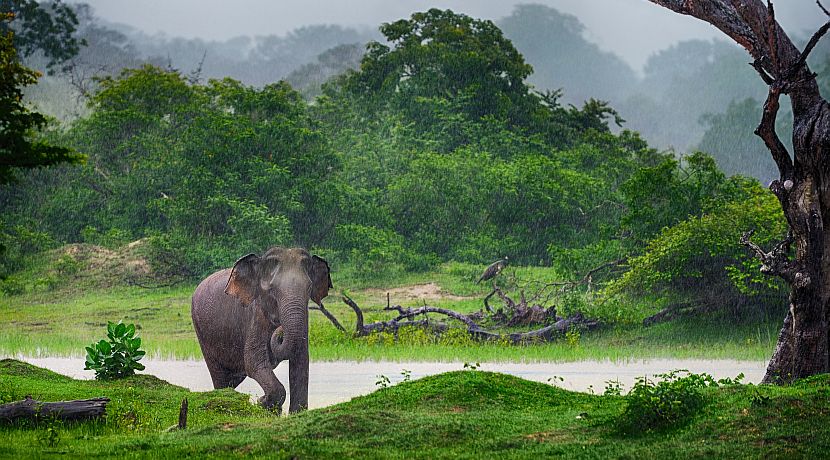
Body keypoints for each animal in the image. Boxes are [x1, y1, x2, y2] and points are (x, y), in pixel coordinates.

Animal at [191, 247, 331, 414]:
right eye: (272, 290)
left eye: (309, 288)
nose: (280, 330)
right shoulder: (255, 315)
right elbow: (253, 362)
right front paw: (261, 402)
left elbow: (301, 361)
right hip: (202, 332)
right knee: (220, 377)